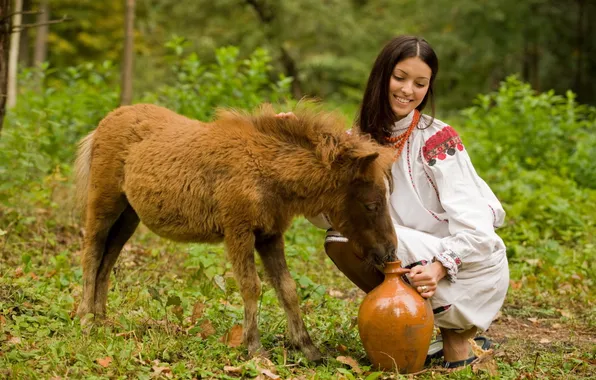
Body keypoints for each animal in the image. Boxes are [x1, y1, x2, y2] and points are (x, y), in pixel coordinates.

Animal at [74, 102, 398, 360]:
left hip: (129, 216)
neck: (266, 171)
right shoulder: (238, 231)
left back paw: (101, 318)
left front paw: (307, 348)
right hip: (104, 204)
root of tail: (105, 122)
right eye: (371, 204)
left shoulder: (270, 235)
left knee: (107, 260)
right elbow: (251, 286)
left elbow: (287, 288)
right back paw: (85, 320)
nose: (389, 251)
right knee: (91, 254)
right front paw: (254, 347)